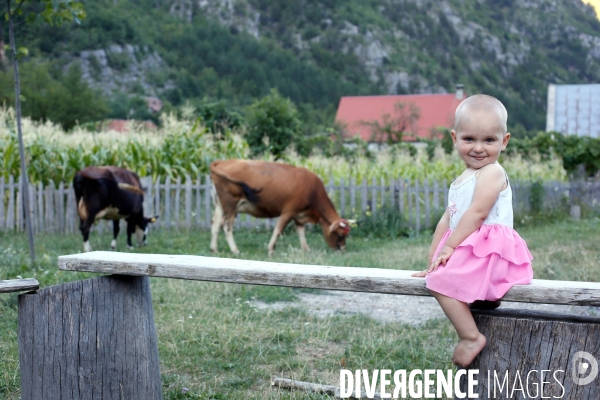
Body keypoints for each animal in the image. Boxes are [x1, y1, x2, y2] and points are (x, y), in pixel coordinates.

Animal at [211, 159, 352, 255]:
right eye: (340, 236)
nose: (342, 251)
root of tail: (221, 162)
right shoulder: (289, 211)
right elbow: (278, 230)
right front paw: (270, 249)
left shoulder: (299, 216)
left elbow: (301, 232)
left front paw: (306, 249)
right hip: (230, 205)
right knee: (226, 226)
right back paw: (235, 250)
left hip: (220, 205)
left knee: (215, 224)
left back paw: (214, 248)